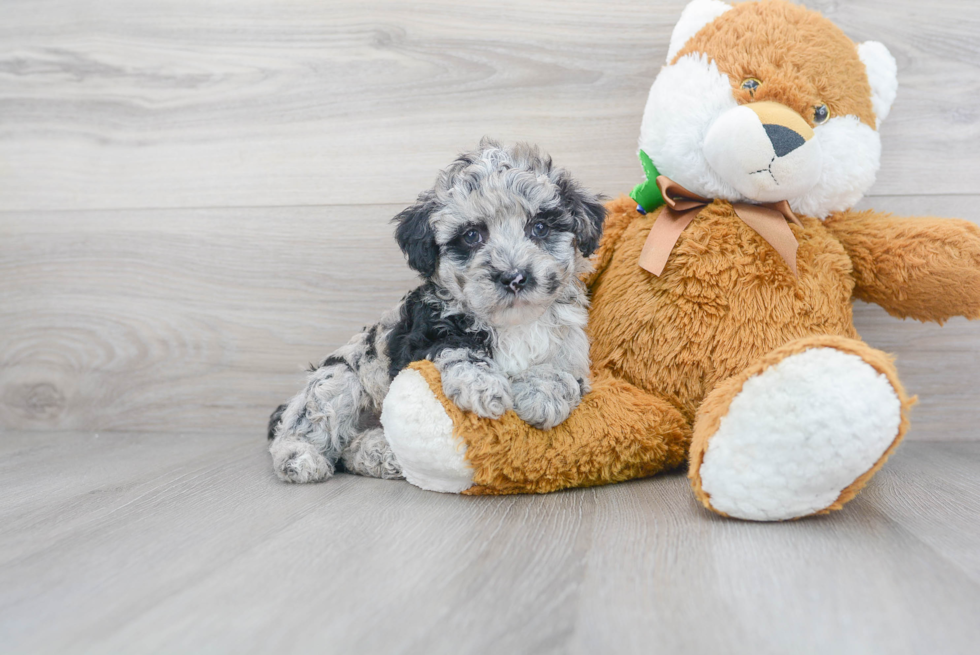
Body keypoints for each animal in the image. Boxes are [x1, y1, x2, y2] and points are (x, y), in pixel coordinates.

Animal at [268, 141, 604, 484]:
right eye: (471, 235)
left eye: (540, 227)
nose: (514, 277)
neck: (512, 323)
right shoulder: (428, 336)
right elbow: (459, 352)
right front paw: (483, 387)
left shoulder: (571, 351)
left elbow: (560, 372)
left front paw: (542, 394)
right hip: (340, 377)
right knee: (304, 423)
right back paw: (300, 458)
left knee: (349, 449)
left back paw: (381, 454)